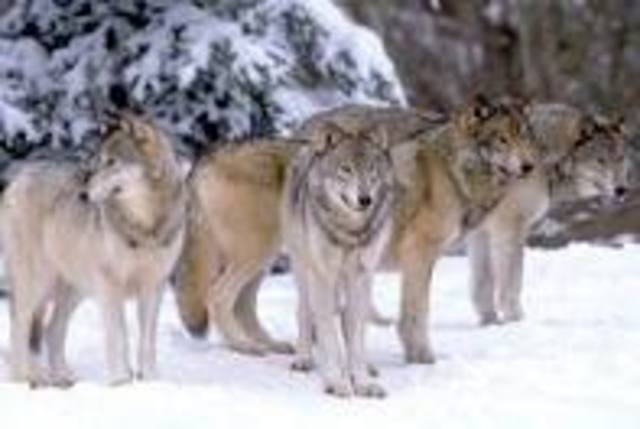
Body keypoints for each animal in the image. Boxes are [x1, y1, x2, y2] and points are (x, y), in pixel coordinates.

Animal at [2, 113, 186, 387]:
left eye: (111, 162)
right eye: (99, 161)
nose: (83, 194)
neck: (145, 226)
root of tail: (19, 177)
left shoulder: (154, 286)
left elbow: (146, 344)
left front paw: (150, 381)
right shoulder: (110, 286)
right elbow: (119, 338)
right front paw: (120, 382)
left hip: (76, 288)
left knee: (51, 330)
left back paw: (63, 377)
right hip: (38, 283)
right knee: (19, 325)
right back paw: (24, 379)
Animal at [174, 96, 537, 364]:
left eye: (525, 137)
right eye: (502, 139)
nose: (529, 166)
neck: (452, 171)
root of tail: (207, 156)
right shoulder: (419, 256)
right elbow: (416, 313)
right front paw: (421, 357)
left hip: (266, 258)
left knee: (243, 305)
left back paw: (273, 345)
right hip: (256, 254)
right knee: (217, 297)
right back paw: (245, 348)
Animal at [282, 123, 395, 397]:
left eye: (371, 169)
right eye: (346, 169)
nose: (365, 199)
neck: (349, 232)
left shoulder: (360, 275)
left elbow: (354, 336)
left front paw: (362, 381)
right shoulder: (322, 276)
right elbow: (329, 337)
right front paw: (336, 381)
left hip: (359, 281)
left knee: (348, 320)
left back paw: (366, 366)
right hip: (304, 270)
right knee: (304, 312)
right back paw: (304, 359)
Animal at [468, 104, 628, 325]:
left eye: (620, 158)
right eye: (600, 161)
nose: (621, 190)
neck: (542, 157)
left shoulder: (481, 232)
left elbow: (482, 285)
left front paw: (490, 322)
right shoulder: (509, 229)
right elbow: (512, 282)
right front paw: (516, 320)